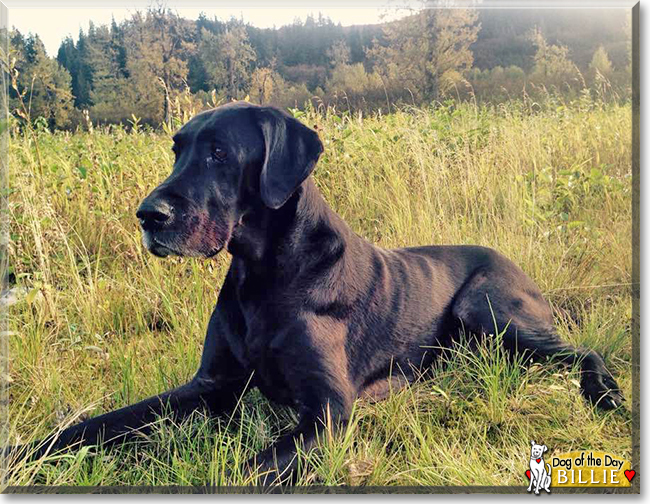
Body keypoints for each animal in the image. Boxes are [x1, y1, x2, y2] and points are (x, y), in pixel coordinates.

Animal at [7, 102, 620, 484]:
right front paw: (24, 454)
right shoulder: (209, 386)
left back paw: (604, 392)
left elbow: (244, 471)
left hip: (488, 307)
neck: (262, 276)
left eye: (220, 153)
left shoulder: (327, 409)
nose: (147, 216)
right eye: (176, 149)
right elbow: (98, 425)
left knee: (583, 349)